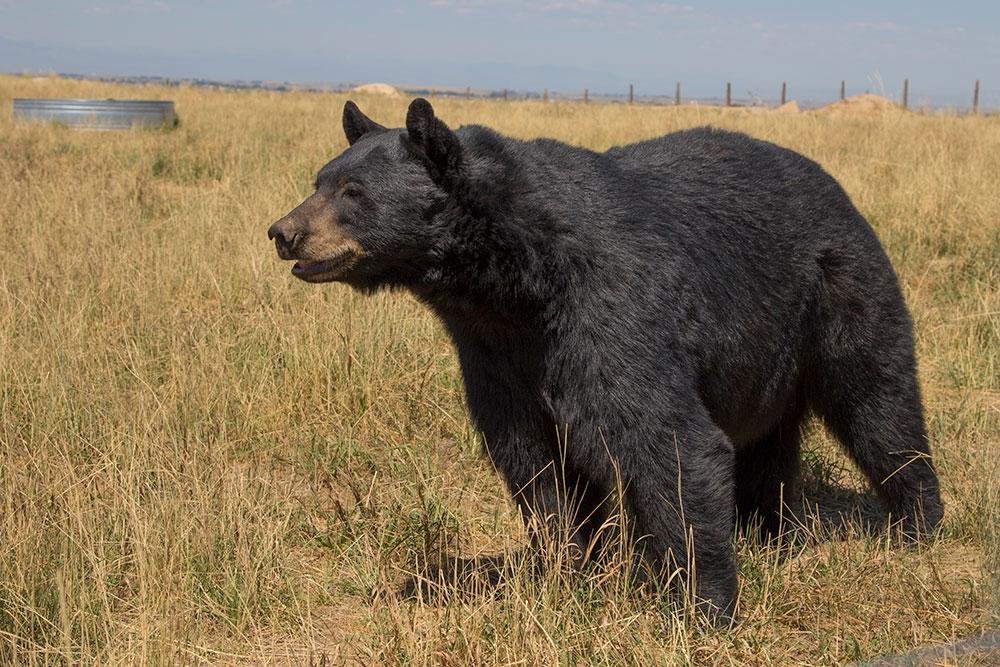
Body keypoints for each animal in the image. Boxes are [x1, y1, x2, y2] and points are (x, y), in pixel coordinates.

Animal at [266, 96, 936, 624]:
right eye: (320, 179)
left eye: (354, 193)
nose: (284, 232)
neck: (515, 281)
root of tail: (835, 186)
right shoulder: (496, 352)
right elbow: (535, 460)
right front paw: (566, 573)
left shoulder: (612, 305)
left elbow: (667, 439)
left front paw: (703, 605)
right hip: (767, 351)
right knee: (769, 440)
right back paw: (765, 530)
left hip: (839, 292)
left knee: (879, 401)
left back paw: (916, 524)